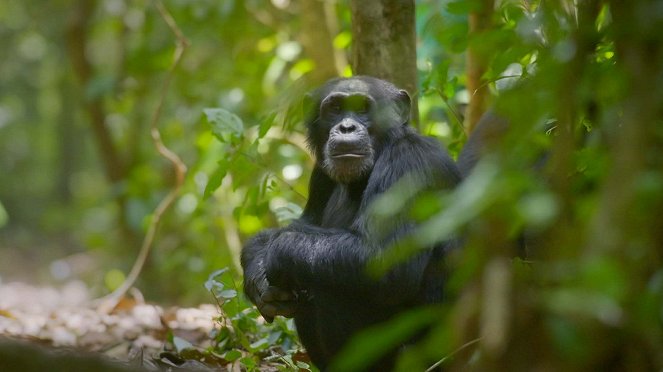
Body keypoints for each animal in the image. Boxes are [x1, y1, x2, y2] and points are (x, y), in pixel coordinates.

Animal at [240, 75, 462, 370]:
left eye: (362, 108)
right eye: (335, 109)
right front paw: (257, 273)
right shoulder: (320, 174)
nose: (346, 126)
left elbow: (382, 257)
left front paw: (272, 255)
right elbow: (302, 222)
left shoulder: (410, 165)